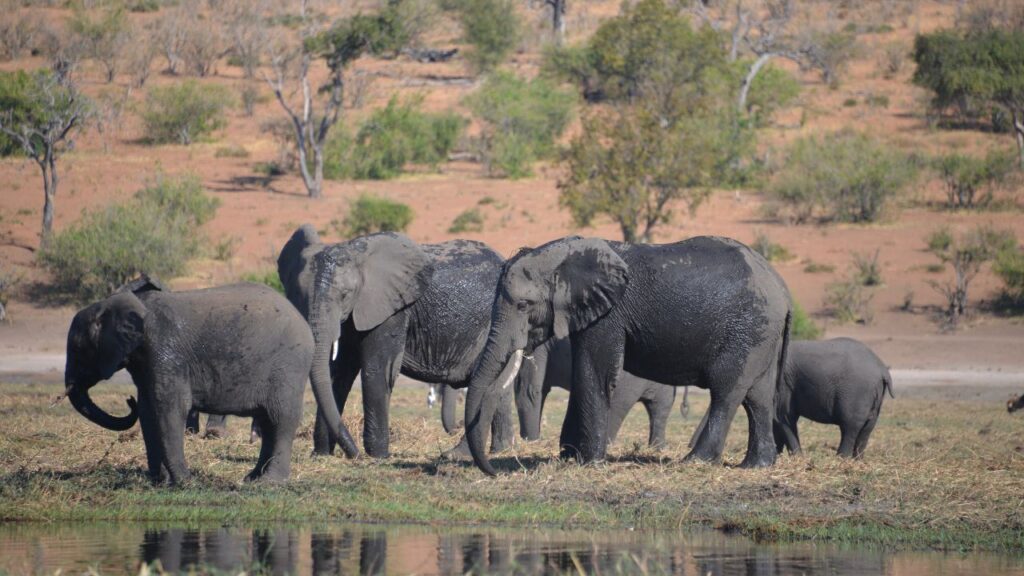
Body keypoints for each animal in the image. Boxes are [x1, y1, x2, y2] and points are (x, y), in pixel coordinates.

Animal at [63, 276, 313, 484]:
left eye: (77, 349)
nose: (128, 400)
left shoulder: (164, 349)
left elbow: (169, 407)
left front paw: (184, 482)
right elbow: (147, 411)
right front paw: (160, 483)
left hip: (288, 366)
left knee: (280, 418)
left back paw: (269, 483)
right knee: (267, 421)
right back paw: (251, 479)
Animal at [276, 225, 517, 459]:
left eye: (345, 295)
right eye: (297, 292)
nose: (354, 455)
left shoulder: (391, 309)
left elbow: (376, 369)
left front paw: (378, 456)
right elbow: (338, 371)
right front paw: (321, 454)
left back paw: (462, 454)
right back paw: (500, 449)